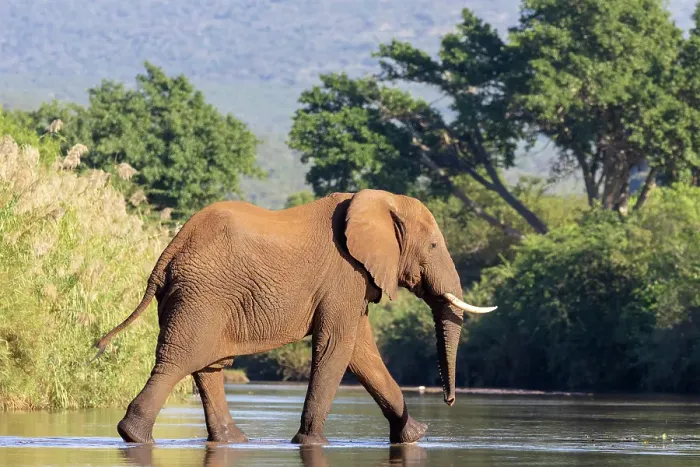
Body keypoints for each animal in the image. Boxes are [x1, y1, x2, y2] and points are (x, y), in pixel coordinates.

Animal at [94, 189, 497, 445]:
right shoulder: (344, 274)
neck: (382, 201)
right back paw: (134, 436)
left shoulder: (353, 280)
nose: (449, 402)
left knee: (208, 366)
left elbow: (361, 352)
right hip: (202, 296)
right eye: (433, 245)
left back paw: (234, 440)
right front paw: (311, 442)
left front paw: (414, 436)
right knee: (180, 360)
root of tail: (168, 252)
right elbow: (337, 347)